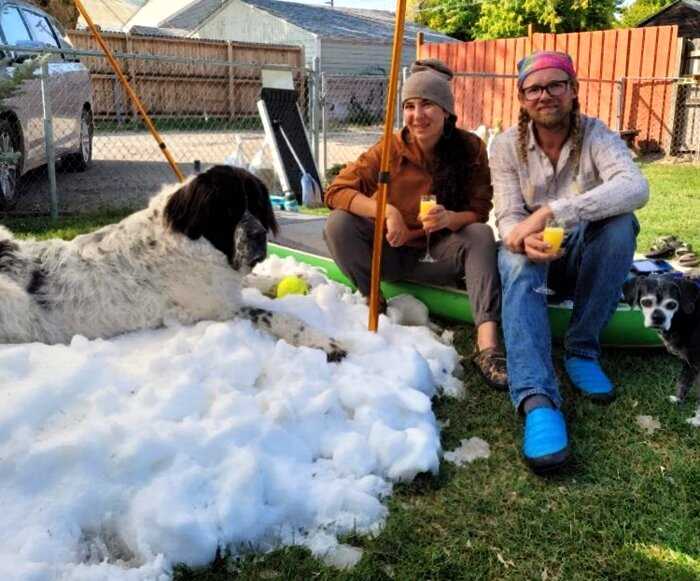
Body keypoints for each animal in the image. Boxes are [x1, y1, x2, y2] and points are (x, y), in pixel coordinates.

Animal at [0, 163, 344, 360]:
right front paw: (324, 342)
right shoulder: (218, 308)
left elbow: (255, 281)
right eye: (227, 210)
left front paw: (308, 278)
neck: (191, 239)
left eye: (256, 205)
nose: (259, 235)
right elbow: (277, 315)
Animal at [628, 270, 696, 398]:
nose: (657, 317)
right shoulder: (688, 361)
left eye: (672, 305)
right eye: (646, 302)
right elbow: (683, 381)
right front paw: (678, 399)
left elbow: (684, 381)